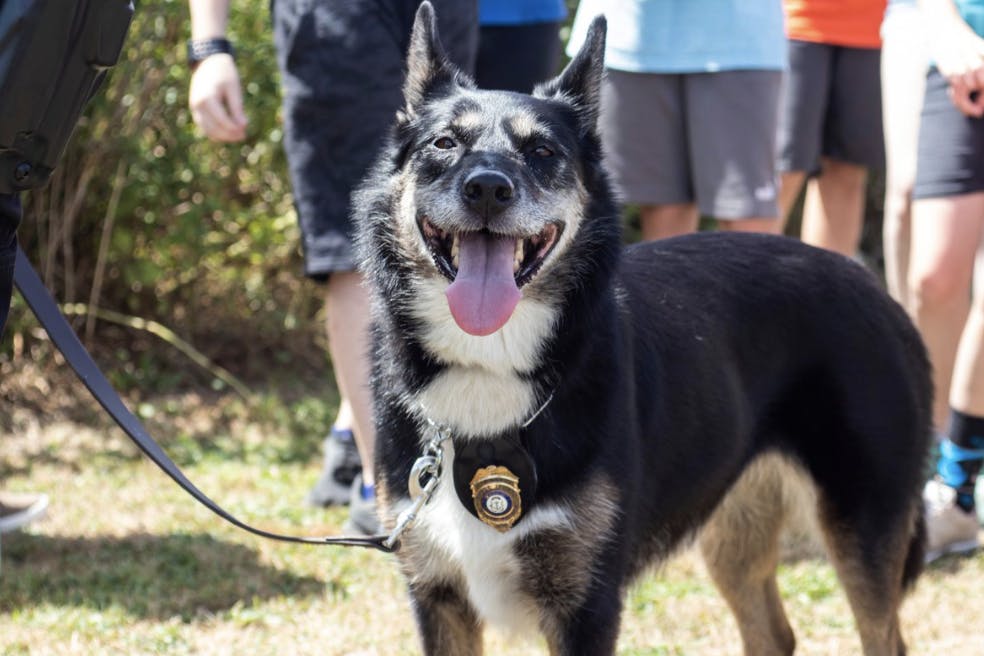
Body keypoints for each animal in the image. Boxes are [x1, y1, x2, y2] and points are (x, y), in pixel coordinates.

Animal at [354, 4, 932, 654]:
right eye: (444, 142)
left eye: (543, 151)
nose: (487, 189)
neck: (489, 365)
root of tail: (877, 290)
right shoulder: (438, 596)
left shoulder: (586, 604)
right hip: (735, 526)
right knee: (774, 634)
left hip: (862, 526)